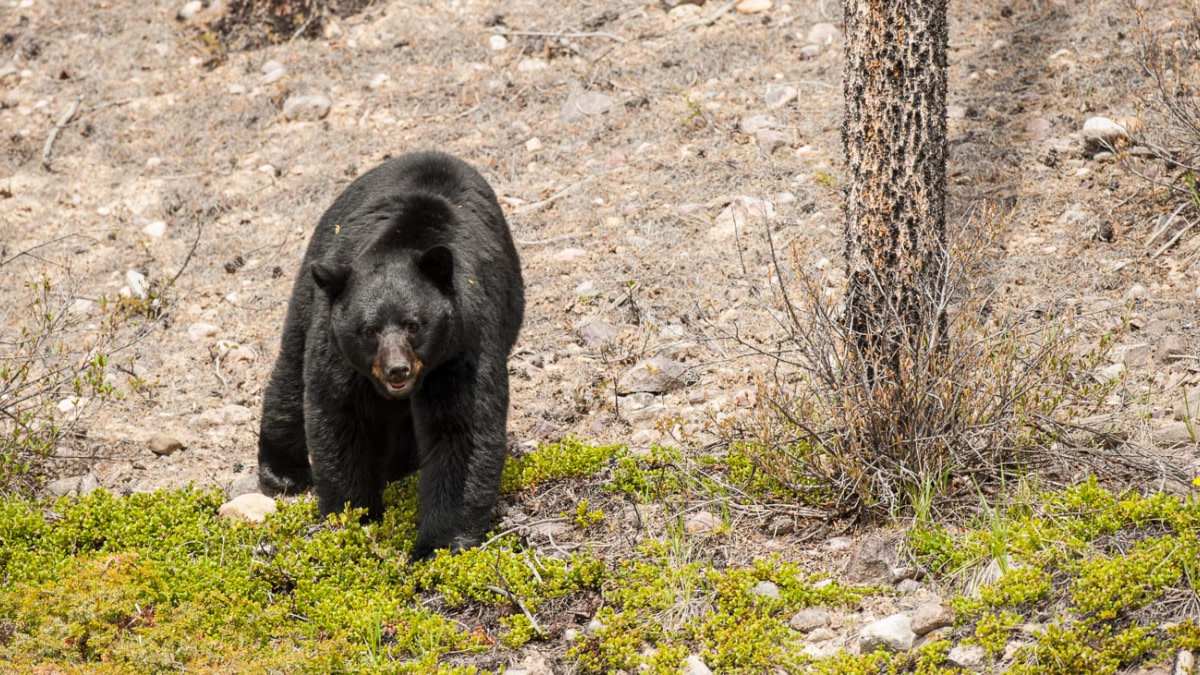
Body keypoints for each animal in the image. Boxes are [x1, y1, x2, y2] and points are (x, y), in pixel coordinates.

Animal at [257, 151, 524, 560]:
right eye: (368, 330)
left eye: (413, 324)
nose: (397, 370)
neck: (402, 241)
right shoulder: (340, 353)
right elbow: (341, 417)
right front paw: (354, 518)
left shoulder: (465, 344)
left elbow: (461, 430)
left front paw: (437, 545)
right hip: (313, 282)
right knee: (291, 367)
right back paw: (282, 470)